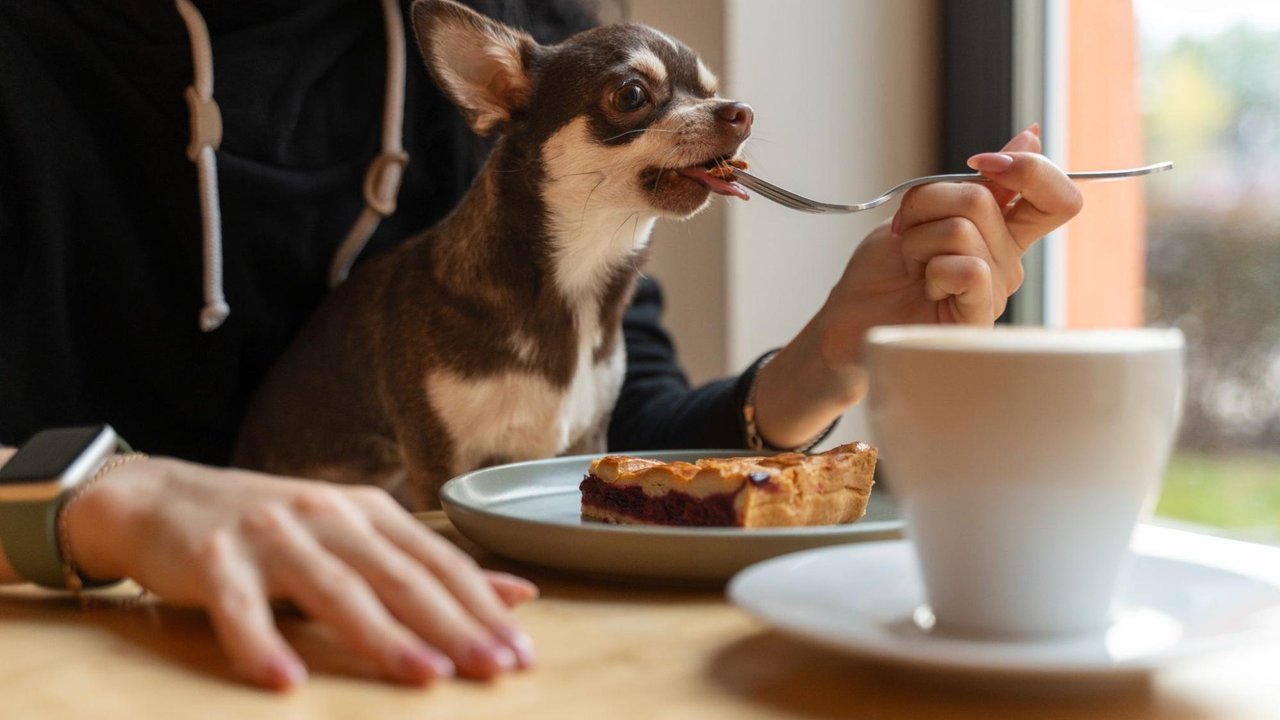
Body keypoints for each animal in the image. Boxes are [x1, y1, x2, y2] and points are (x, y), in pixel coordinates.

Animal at [232, 0, 747, 507]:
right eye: (631, 96)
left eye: (711, 91)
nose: (740, 111)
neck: (575, 281)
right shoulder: (439, 458)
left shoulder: (587, 438)